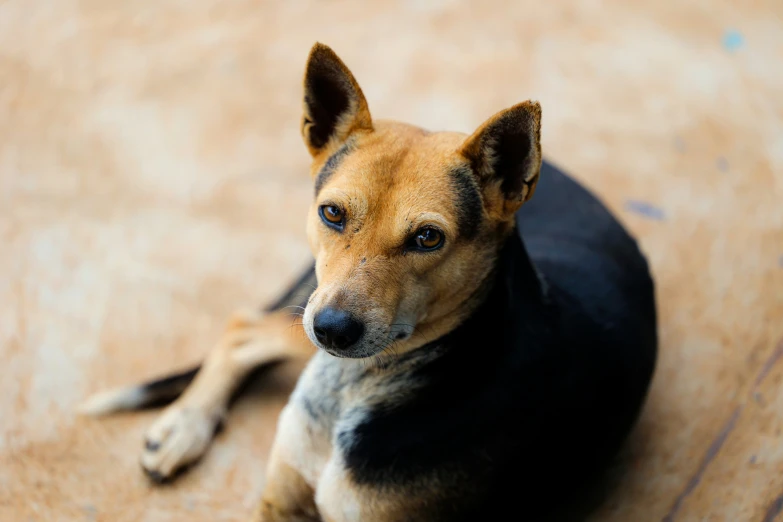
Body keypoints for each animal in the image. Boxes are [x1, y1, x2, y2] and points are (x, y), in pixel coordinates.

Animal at [81, 41, 656, 520]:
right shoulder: (279, 500)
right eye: (332, 213)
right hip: (301, 318)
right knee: (243, 326)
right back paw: (181, 429)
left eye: (428, 238)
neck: (355, 387)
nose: (334, 330)